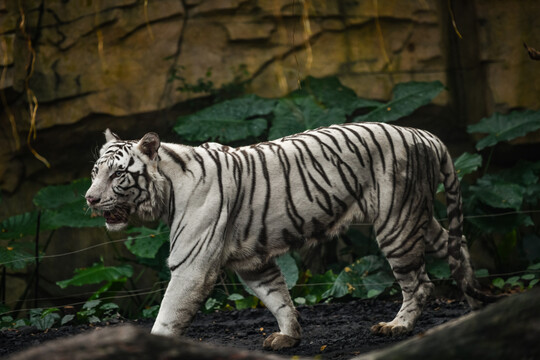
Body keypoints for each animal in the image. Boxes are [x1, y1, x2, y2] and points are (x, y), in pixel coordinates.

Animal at [84, 123, 494, 348]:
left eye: (118, 174)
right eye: (94, 171)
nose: (90, 198)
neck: (167, 191)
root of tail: (423, 134)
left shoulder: (192, 266)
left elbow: (168, 314)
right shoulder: (252, 262)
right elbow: (278, 297)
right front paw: (290, 337)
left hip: (397, 221)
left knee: (420, 283)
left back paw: (398, 326)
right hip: (417, 217)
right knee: (457, 246)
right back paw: (477, 304)